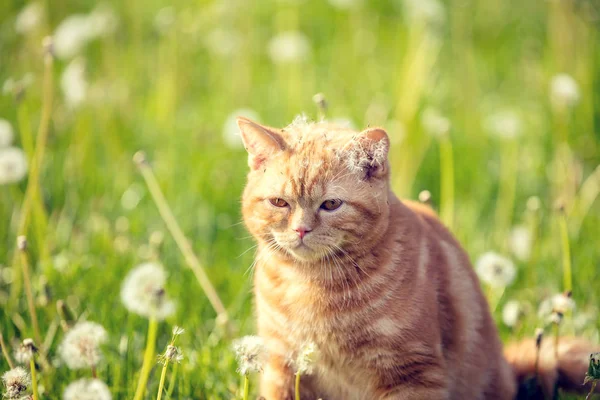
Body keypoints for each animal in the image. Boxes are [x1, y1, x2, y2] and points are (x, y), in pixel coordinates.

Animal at [237, 116, 596, 400]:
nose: (301, 230)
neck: (312, 284)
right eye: (279, 202)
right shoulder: (283, 366)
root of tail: (508, 369)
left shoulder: (411, 373)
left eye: (331, 204)